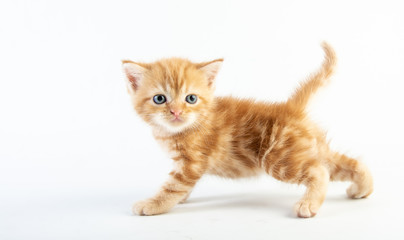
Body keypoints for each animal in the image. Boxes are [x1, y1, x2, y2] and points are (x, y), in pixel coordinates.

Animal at [121, 42, 374, 218]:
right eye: (159, 99)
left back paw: (308, 204)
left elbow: (173, 187)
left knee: (319, 171)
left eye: (190, 98)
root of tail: (290, 108)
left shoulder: (190, 164)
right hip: (308, 149)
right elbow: (179, 187)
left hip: (279, 159)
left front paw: (153, 204)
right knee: (347, 164)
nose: (175, 112)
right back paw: (362, 188)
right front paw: (181, 198)